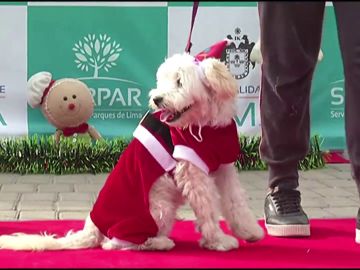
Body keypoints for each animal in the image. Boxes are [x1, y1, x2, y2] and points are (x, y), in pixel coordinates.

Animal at [0, 48, 262, 251]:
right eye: (163, 81)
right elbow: (207, 209)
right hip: (157, 207)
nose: (157, 99)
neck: (204, 123)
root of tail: (93, 227)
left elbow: (235, 200)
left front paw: (249, 230)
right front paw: (219, 241)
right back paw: (159, 243)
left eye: (179, 81)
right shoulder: (192, 170)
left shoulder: (224, 164)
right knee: (113, 244)